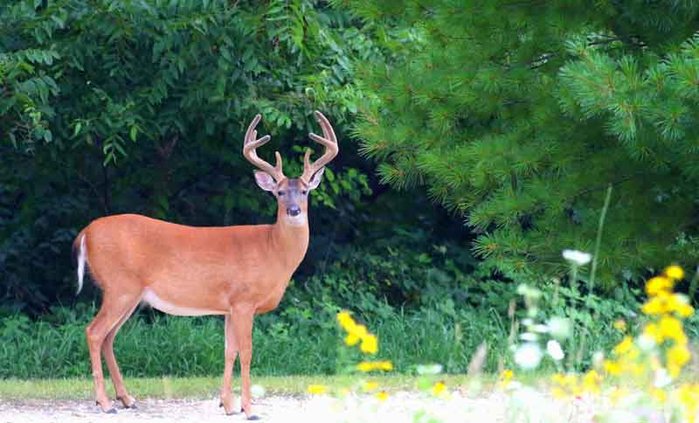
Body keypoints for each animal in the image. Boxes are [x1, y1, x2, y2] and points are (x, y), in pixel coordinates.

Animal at [73, 111, 339, 419]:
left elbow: (229, 351)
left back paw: (126, 398)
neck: (272, 250)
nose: (294, 211)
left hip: (130, 294)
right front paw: (249, 409)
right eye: (280, 193)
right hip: (120, 286)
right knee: (94, 332)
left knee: (108, 337)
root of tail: (86, 232)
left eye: (305, 191)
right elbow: (247, 352)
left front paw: (228, 405)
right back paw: (104, 403)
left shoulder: (229, 307)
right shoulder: (244, 301)